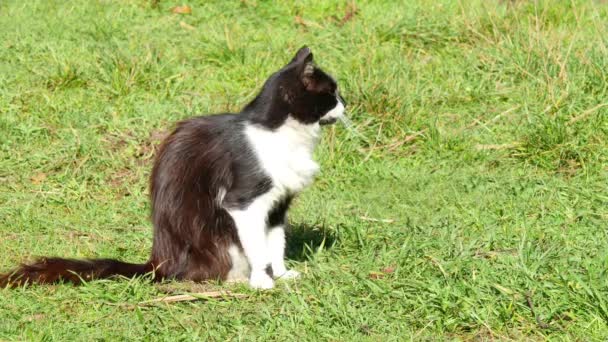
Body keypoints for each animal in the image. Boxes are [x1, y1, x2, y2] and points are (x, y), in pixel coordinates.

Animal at [1, 46, 346, 290]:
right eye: (331, 93)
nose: (345, 104)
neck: (283, 135)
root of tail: (159, 261)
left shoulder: (278, 202)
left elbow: (275, 243)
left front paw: (283, 275)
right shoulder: (244, 200)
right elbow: (258, 247)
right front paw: (262, 282)